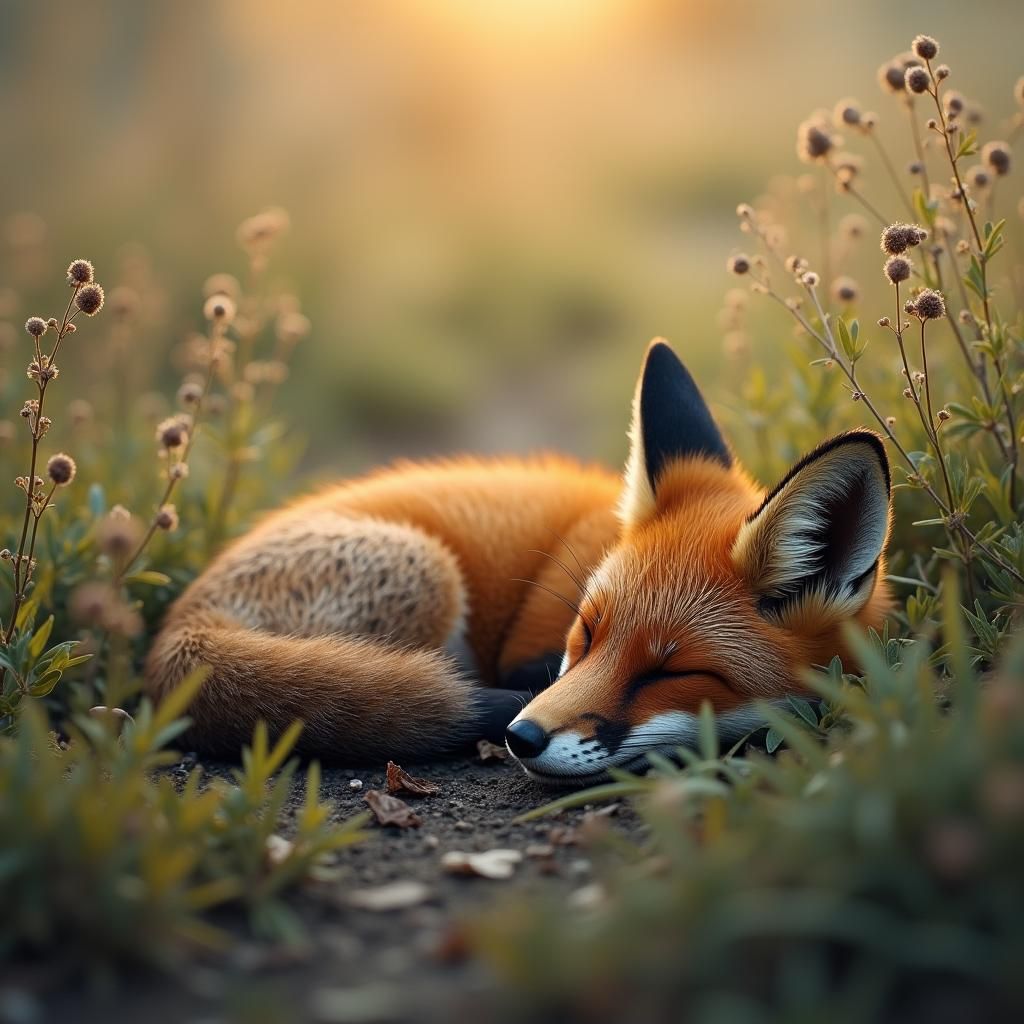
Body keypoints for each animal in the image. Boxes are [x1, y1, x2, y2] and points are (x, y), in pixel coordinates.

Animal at [145, 339, 893, 784]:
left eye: (672, 672)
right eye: (585, 633)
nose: (522, 736)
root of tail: (177, 626)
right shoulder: (526, 660)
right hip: (428, 575)